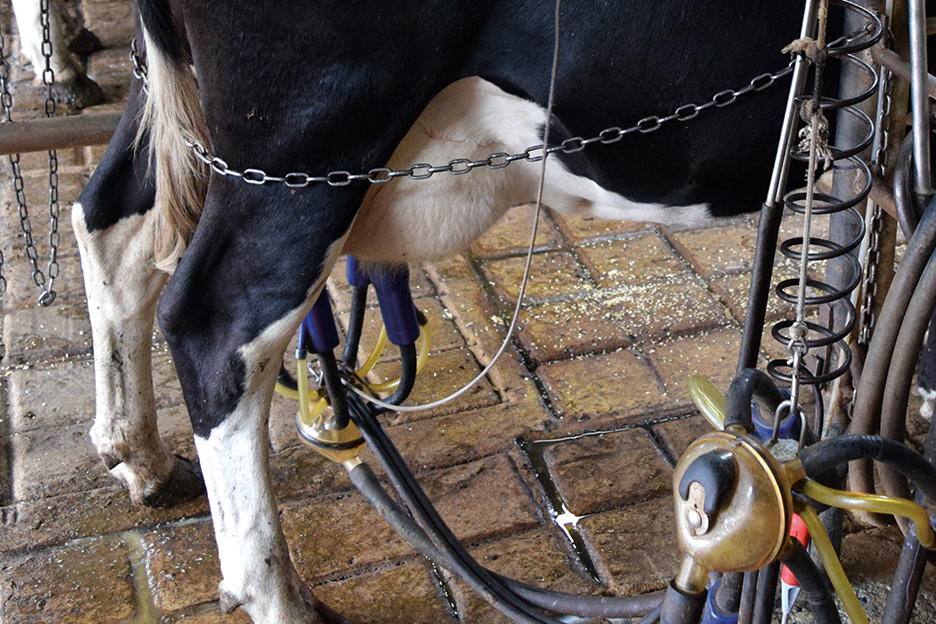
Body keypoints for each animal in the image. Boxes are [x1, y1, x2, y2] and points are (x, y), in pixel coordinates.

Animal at [73, 2, 804, 620]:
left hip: (183, 105)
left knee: (108, 220)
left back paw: (141, 458)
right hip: (309, 138)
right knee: (217, 325)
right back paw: (280, 597)